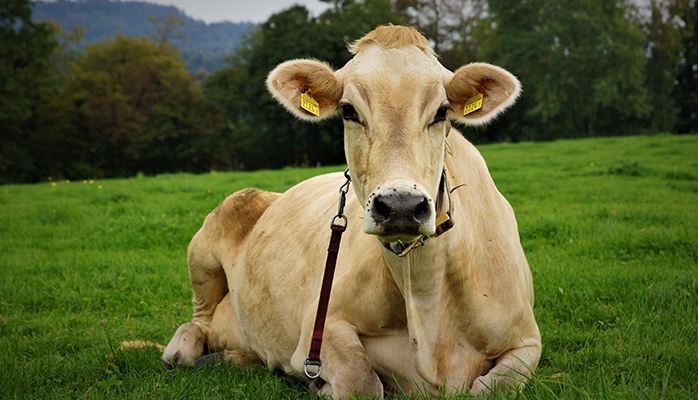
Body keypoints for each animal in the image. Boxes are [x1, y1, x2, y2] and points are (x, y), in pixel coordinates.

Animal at [162, 24, 540, 396]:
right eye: (348, 110)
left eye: (442, 111)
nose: (401, 206)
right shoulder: (317, 328)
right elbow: (361, 380)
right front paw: (326, 387)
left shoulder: (527, 342)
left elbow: (496, 387)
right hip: (209, 244)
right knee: (199, 321)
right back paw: (181, 352)